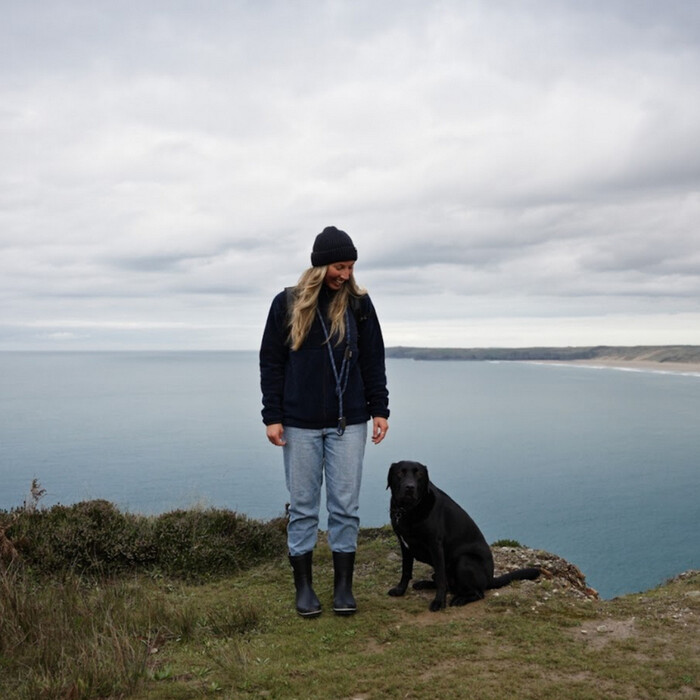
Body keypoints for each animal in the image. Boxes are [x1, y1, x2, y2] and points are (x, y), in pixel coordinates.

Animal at [386, 462, 540, 608]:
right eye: (400, 473)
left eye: (419, 475)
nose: (410, 487)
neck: (408, 509)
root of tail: (491, 578)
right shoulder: (404, 545)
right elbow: (406, 571)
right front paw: (400, 590)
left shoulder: (436, 546)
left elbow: (441, 579)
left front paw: (439, 602)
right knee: (447, 584)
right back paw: (424, 584)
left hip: (464, 561)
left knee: (476, 592)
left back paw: (460, 599)